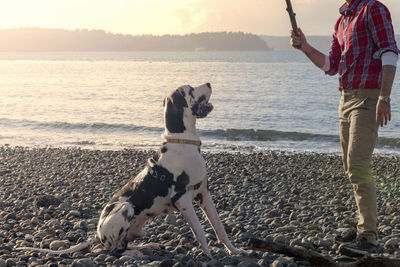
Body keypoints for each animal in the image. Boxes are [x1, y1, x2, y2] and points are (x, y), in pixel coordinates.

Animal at [17, 84, 244, 260]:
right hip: (125, 207)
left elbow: (219, 228)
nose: (209, 83)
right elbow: (200, 231)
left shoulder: (204, 194)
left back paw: (146, 246)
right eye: (189, 89)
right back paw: (135, 253)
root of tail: (97, 235)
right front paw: (209, 255)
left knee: (123, 244)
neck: (183, 142)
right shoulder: (183, 199)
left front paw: (234, 251)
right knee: (114, 251)